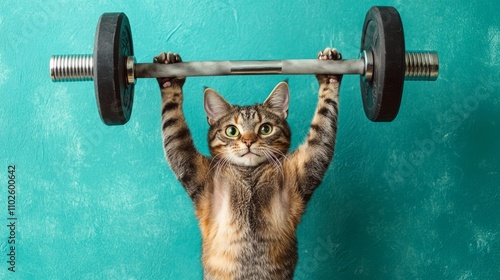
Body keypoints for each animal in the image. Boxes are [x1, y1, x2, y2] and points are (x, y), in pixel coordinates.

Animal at [156, 47, 342, 278]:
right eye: (231, 131)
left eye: (265, 128)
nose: (248, 141)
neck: (249, 173)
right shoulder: (192, 165)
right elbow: (174, 125)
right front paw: (169, 78)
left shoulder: (308, 161)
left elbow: (323, 122)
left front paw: (329, 74)